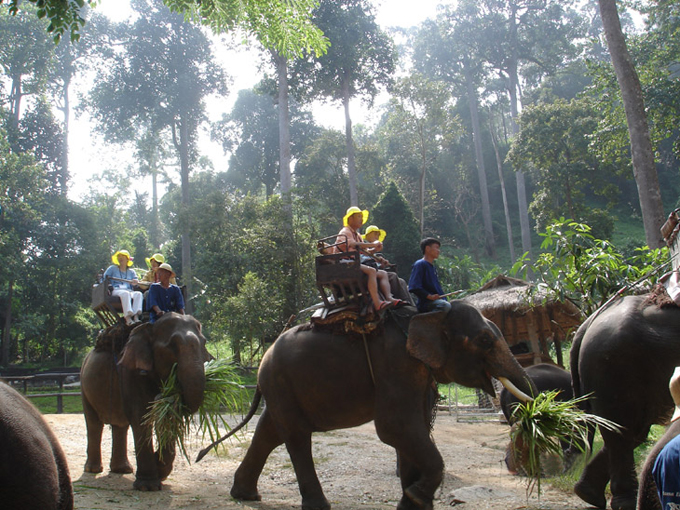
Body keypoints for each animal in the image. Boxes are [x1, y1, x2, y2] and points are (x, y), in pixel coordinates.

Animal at [78, 312, 210, 492]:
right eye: (171, 346)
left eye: (204, 343)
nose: (163, 395)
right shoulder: (130, 371)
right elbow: (140, 415)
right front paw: (148, 486)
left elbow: (169, 417)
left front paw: (159, 471)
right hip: (84, 386)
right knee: (94, 424)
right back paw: (93, 470)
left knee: (120, 425)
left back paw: (122, 470)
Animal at [202, 302, 536, 510]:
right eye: (484, 340)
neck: (425, 315)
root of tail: (262, 362)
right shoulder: (396, 364)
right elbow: (393, 428)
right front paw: (416, 496)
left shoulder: (415, 374)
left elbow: (410, 429)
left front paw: (412, 502)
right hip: (282, 383)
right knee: (295, 436)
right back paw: (318, 505)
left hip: (282, 389)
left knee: (269, 431)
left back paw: (245, 495)